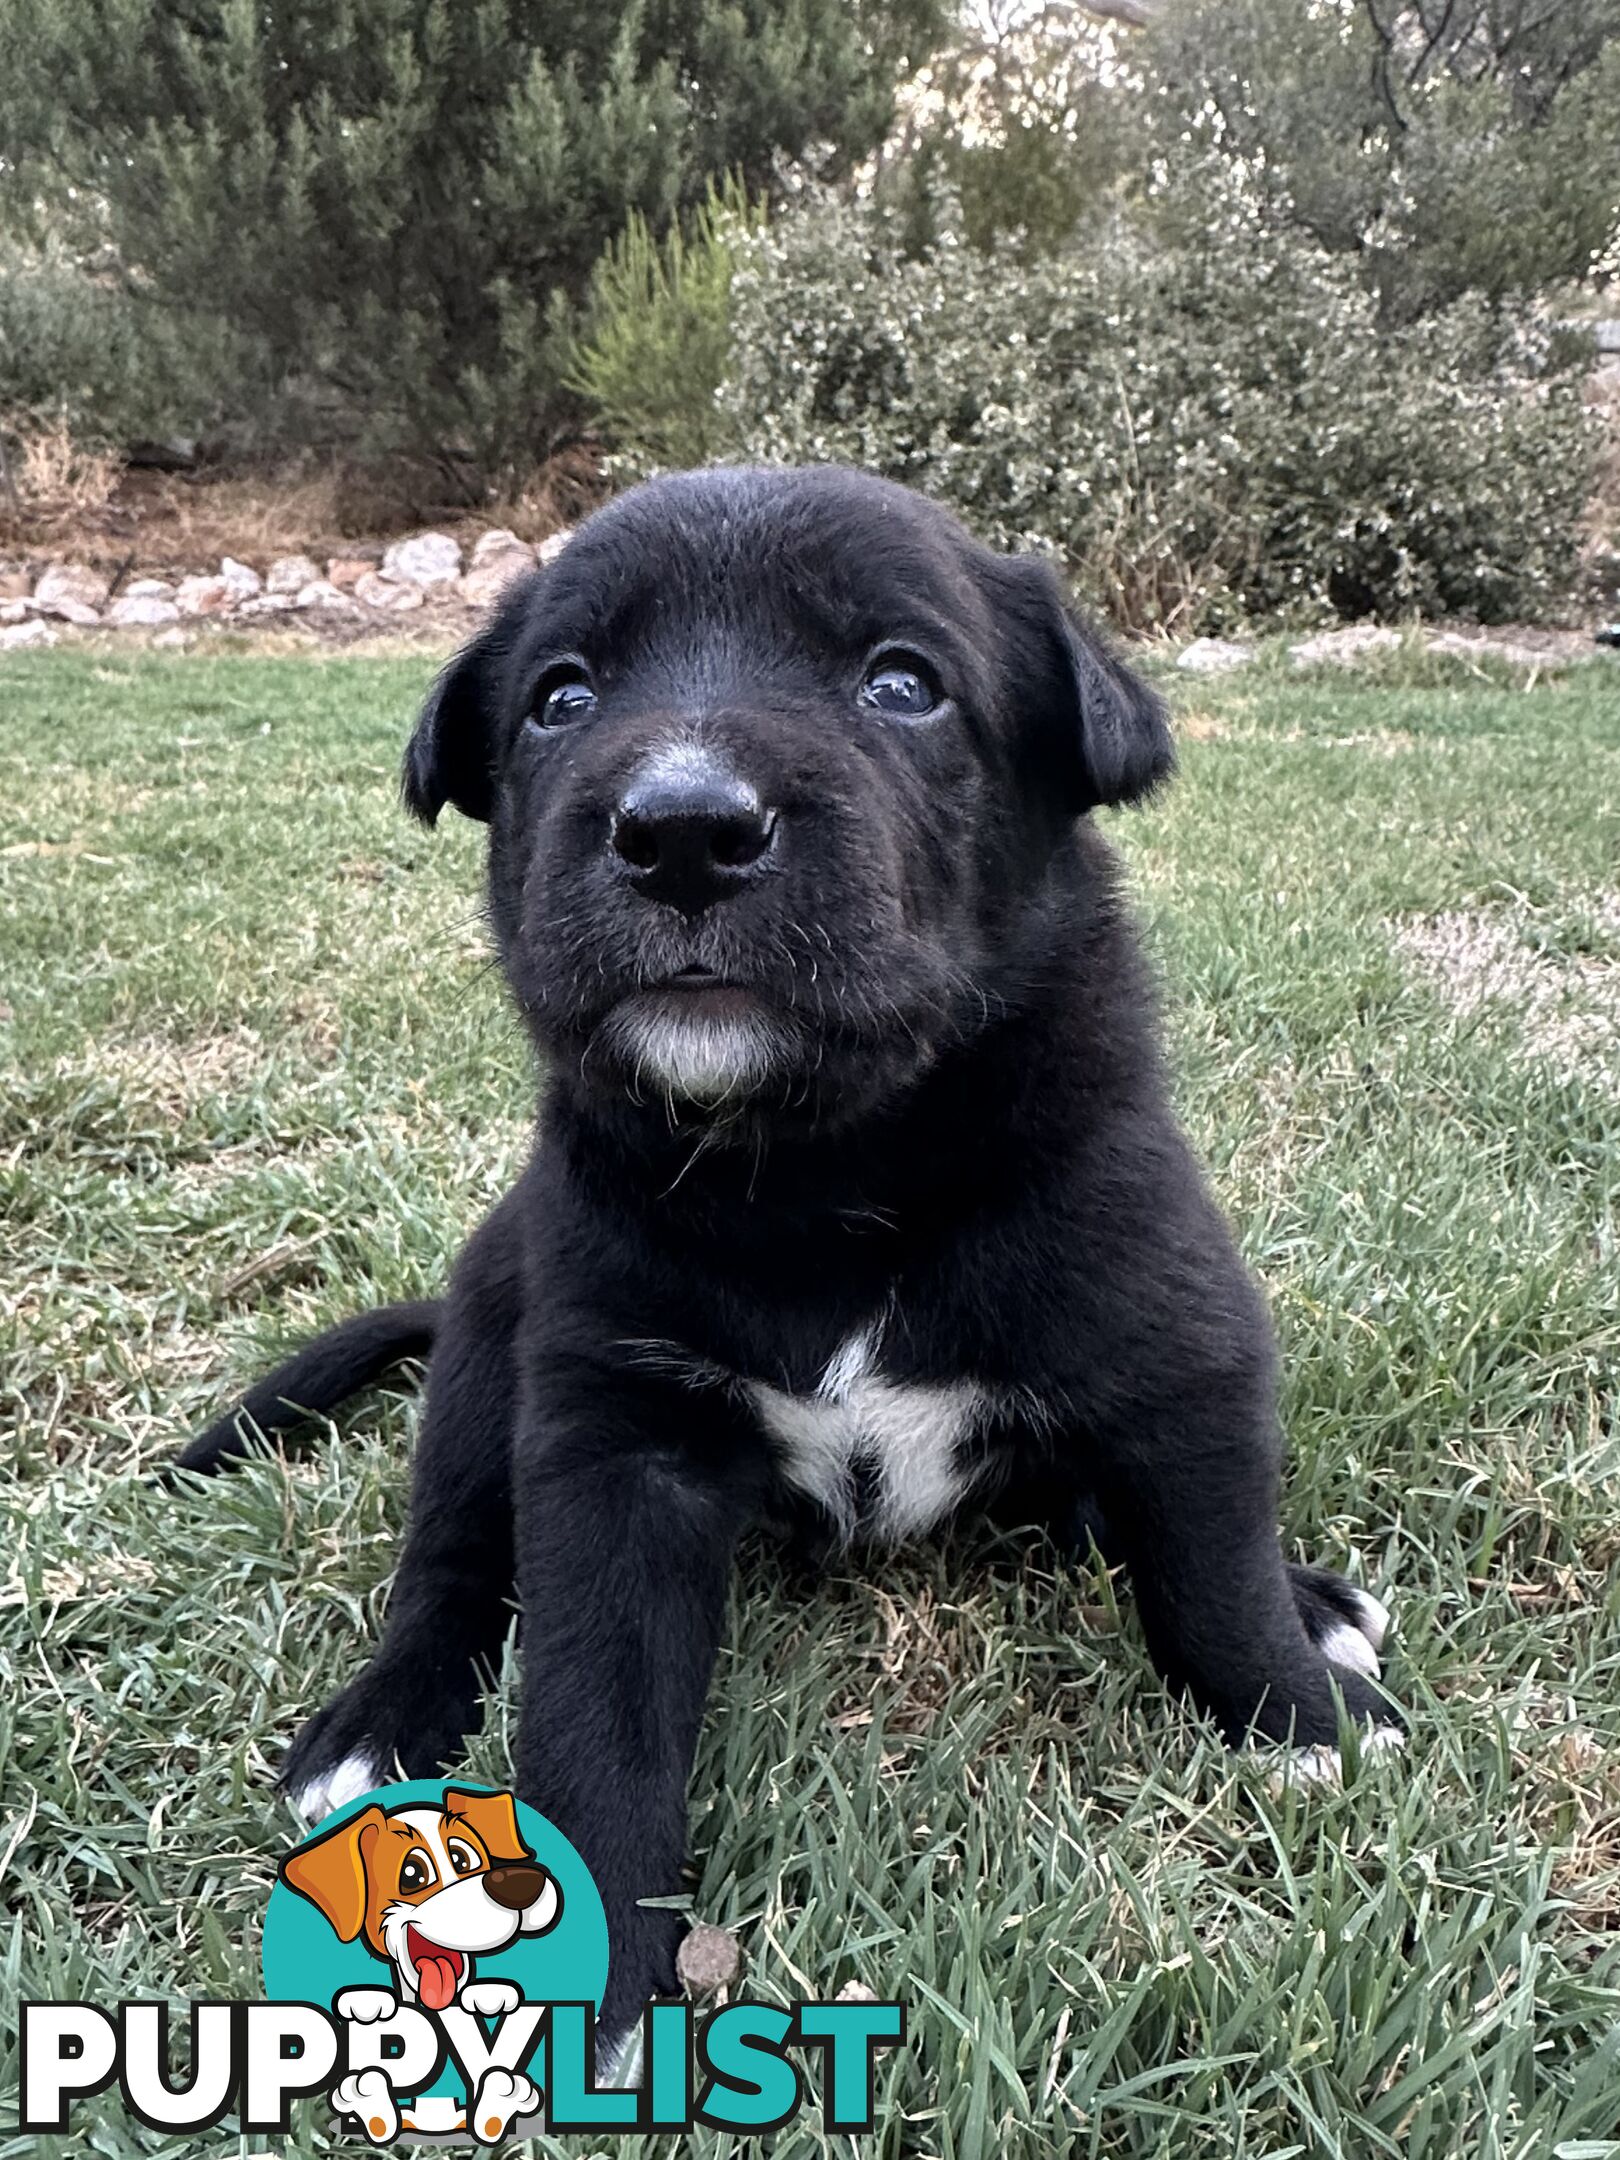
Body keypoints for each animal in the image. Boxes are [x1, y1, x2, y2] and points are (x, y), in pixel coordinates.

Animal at [174, 468, 1399, 2056]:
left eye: (904, 683)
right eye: (562, 698)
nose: (683, 830)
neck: (821, 1169)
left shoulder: (1180, 1336)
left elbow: (1213, 1566)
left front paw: (1300, 1722)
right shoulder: (612, 1436)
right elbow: (592, 1704)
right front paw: (586, 1977)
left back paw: (1321, 1610)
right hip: (493, 1339)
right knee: (448, 1561)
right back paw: (379, 1723)